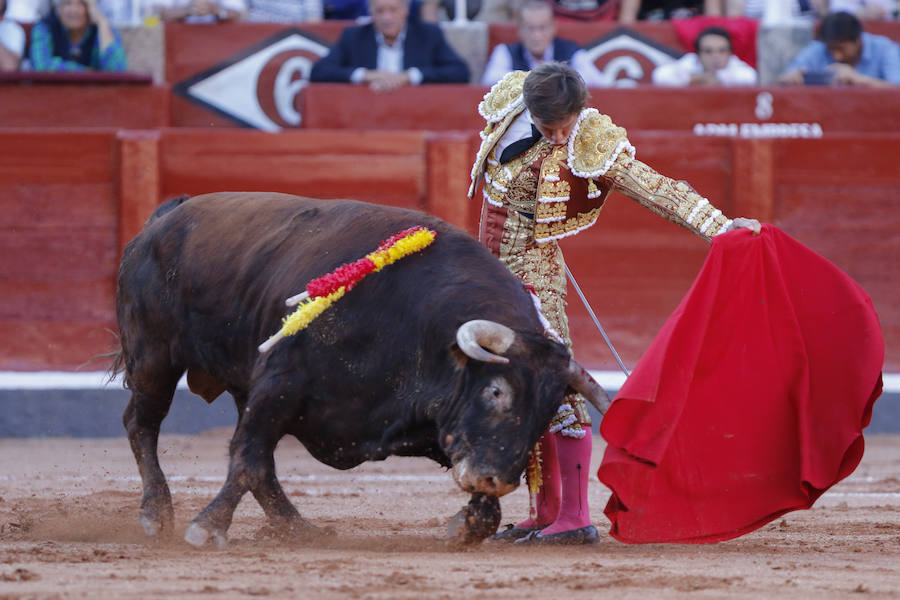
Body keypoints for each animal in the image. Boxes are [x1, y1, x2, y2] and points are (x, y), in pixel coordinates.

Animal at [109, 190, 608, 548]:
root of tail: (168, 216)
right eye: (496, 392)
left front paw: (464, 526)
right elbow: (245, 460)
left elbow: (487, 511)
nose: (497, 479)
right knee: (142, 423)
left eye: (547, 410)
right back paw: (156, 513)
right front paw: (208, 527)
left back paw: (297, 528)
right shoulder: (278, 383)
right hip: (154, 356)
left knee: (259, 462)